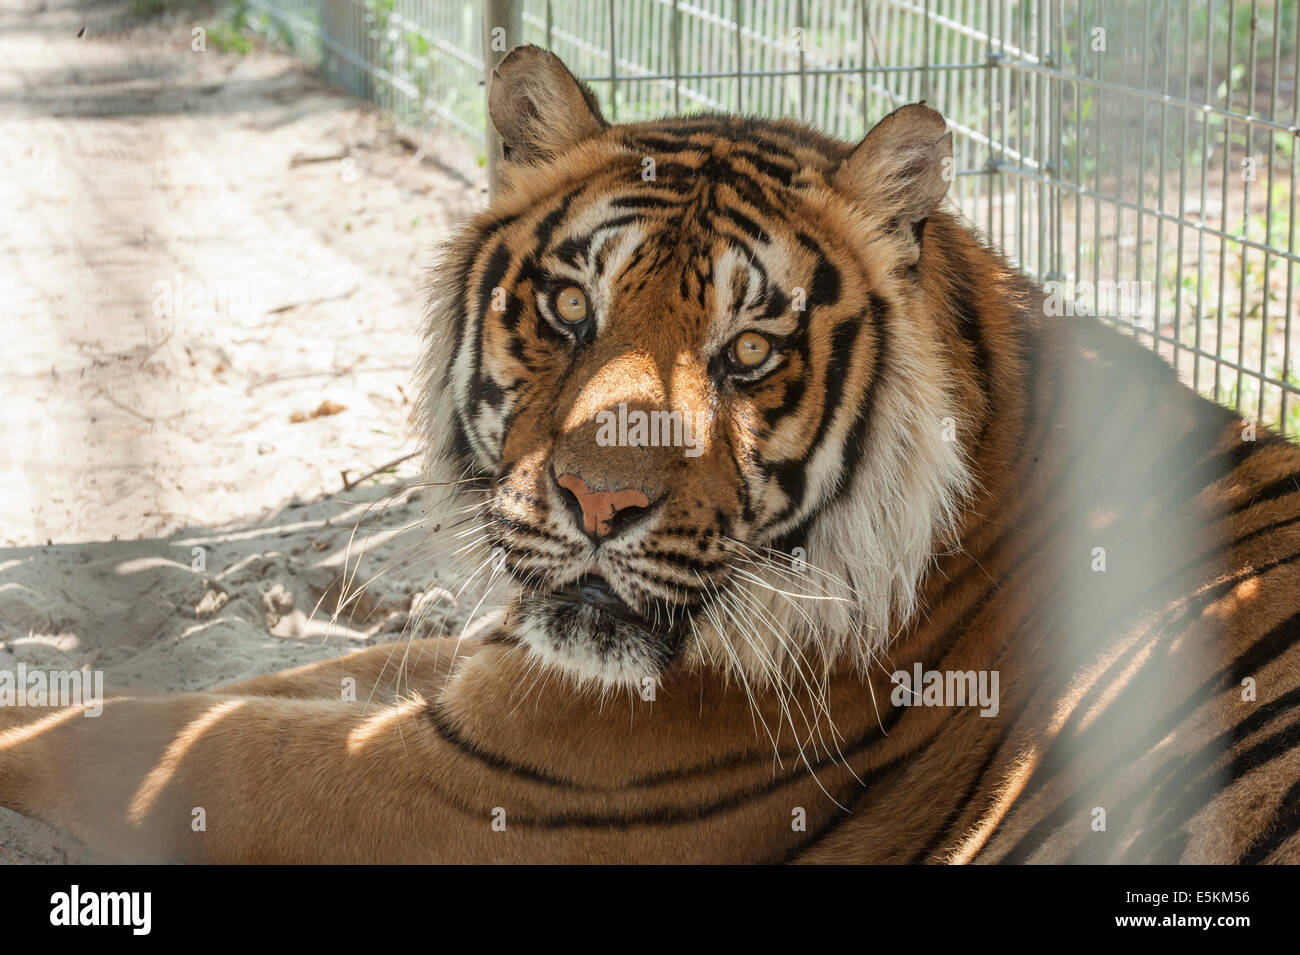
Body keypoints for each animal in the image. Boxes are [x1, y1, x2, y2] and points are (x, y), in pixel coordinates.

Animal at [2, 46, 1300, 867]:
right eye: (571, 307)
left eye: (750, 349)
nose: (597, 500)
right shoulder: (477, 684)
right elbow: (225, 687)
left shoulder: (481, 784)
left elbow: (156, 739)